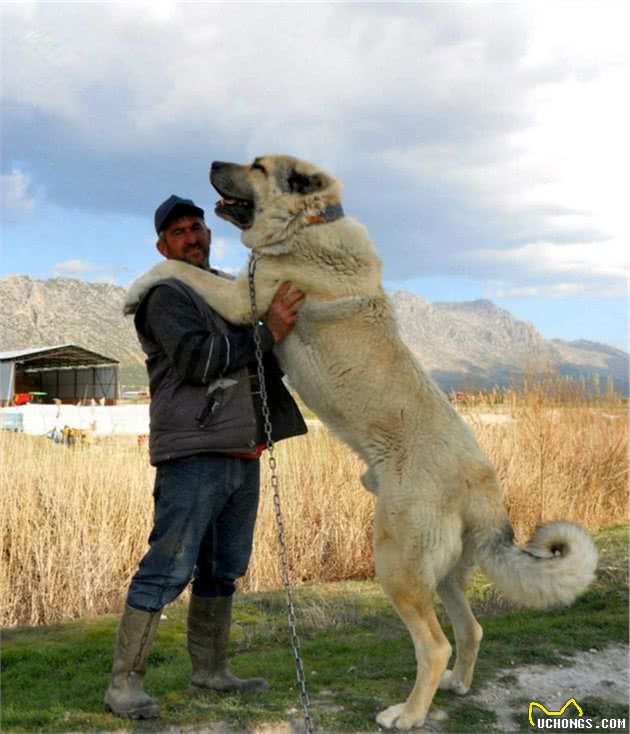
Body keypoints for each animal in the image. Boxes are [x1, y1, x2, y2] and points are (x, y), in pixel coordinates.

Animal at [126, 155, 600, 732]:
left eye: (258, 165)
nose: (213, 162)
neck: (308, 224)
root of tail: (483, 485)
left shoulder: (244, 298)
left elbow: (182, 272)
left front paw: (133, 291)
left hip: (396, 564)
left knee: (435, 644)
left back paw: (408, 714)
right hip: (442, 573)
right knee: (470, 629)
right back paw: (457, 685)